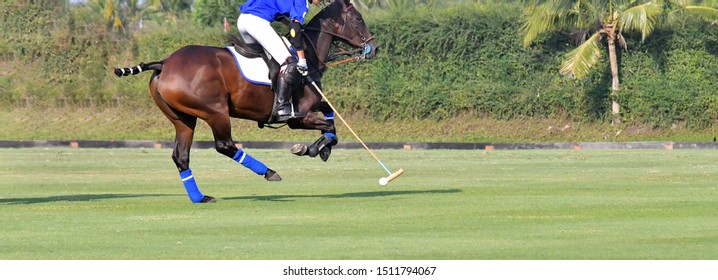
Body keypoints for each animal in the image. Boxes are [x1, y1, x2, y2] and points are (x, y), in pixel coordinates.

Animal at [114, 0, 376, 202]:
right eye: (358, 18)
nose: (374, 48)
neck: (310, 57)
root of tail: (164, 63)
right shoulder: (297, 117)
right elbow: (329, 125)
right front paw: (312, 148)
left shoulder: (312, 106)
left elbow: (329, 112)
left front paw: (321, 148)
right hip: (215, 111)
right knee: (225, 145)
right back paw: (269, 172)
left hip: (182, 118)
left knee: (181, 156)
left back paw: (200, 197)